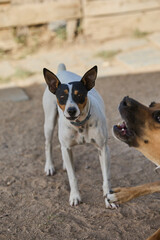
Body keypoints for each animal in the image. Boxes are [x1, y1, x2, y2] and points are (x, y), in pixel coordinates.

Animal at [42, 63, 116, 208]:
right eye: (62, 97)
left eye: (80, 95)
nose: (71, 110)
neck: (80, 124)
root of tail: (62, 71)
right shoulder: (66, 147)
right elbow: (72, 177)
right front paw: (75, 196)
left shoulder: (103, 149)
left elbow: (106, 178)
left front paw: (108, 199)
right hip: (49, 122)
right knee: (48, 144)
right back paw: (49, 166)